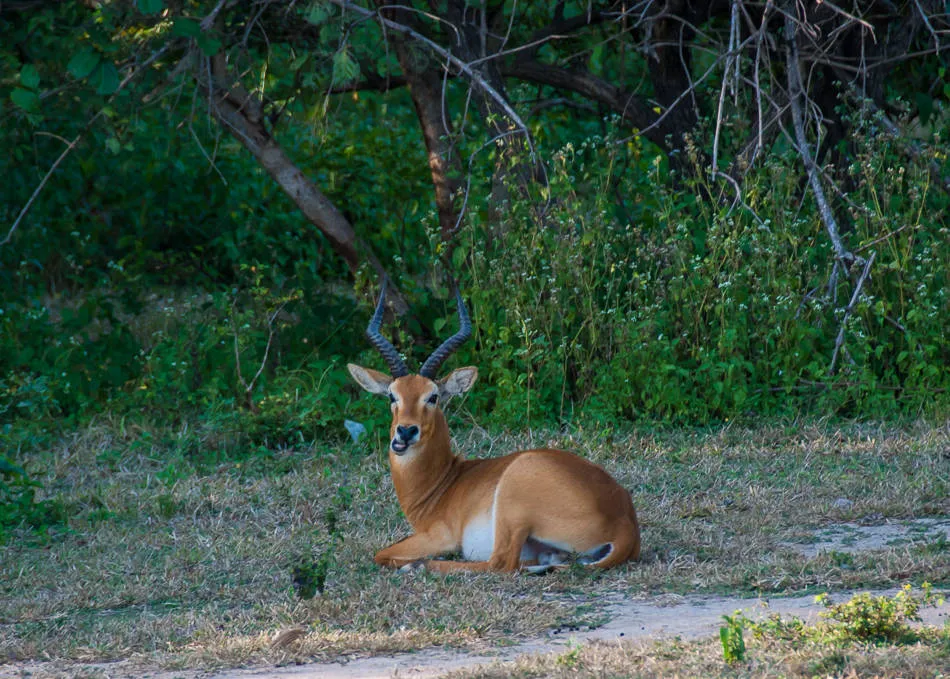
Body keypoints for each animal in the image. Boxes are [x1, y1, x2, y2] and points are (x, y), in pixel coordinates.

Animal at [347, 287, 640, 573]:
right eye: (392, 395)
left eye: (433, 397)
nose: (406, 432)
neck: (443, 484)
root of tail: (625, 521)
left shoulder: (438, 536)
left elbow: (382, 554)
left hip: (512, 505)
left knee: (500, 563)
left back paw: (419, 566)